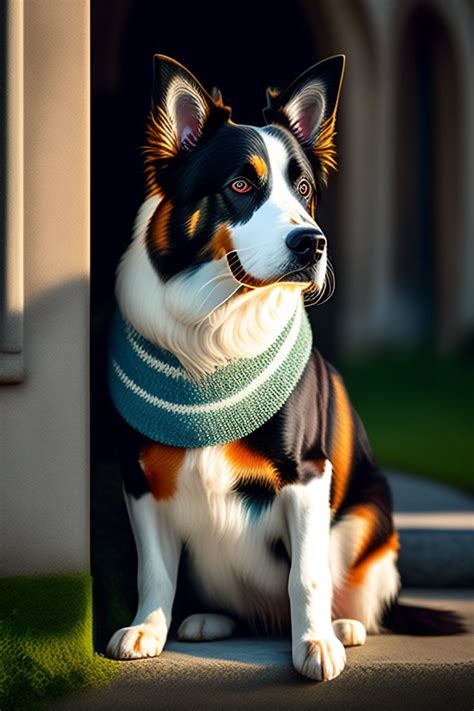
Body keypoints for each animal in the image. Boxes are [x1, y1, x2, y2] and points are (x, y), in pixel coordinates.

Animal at [105, 54, 464, 680]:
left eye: (302, 188)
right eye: (241, 185)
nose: (311, 243)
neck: (216, 326)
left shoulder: (308, 472)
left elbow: (307, 575)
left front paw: (315, 642)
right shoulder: (142, 474)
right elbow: (155, 570)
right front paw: (149, 628)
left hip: (370, 514)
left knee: (350, 593)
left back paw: (343, 627)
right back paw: (211, 620)